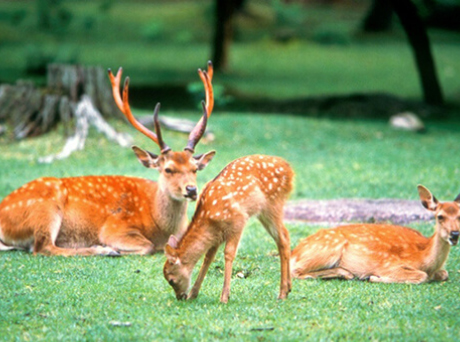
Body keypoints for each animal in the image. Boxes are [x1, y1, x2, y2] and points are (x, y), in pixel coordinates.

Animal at [0, 61, 216, 256]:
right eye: (168, 169)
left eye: (195, 169)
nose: (191, 189)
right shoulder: (114, 227)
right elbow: (147, 247)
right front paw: (114, 248)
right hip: (45, 209)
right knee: (42, 247)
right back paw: (104, 250)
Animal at [162, 154, 294, 302]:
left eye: (171, 280)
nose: (181, 297)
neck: (208, 217)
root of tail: (289, 170)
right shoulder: (217, 234)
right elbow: (208, 257)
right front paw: (193, 294)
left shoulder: (237, 221)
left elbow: (229, 253)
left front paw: (224, 296)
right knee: (284, 237)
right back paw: (288, 289)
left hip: (273, 204)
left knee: (283, 238)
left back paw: (282, 293)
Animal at [292, 184, 460, 284]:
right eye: (440, 216)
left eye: (459, 215)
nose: (454, 234)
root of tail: (295, 252)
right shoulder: (390, 265)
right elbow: (421, 276)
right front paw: (373, 277)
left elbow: (444, 273)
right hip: (327, 249)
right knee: (295, 271)